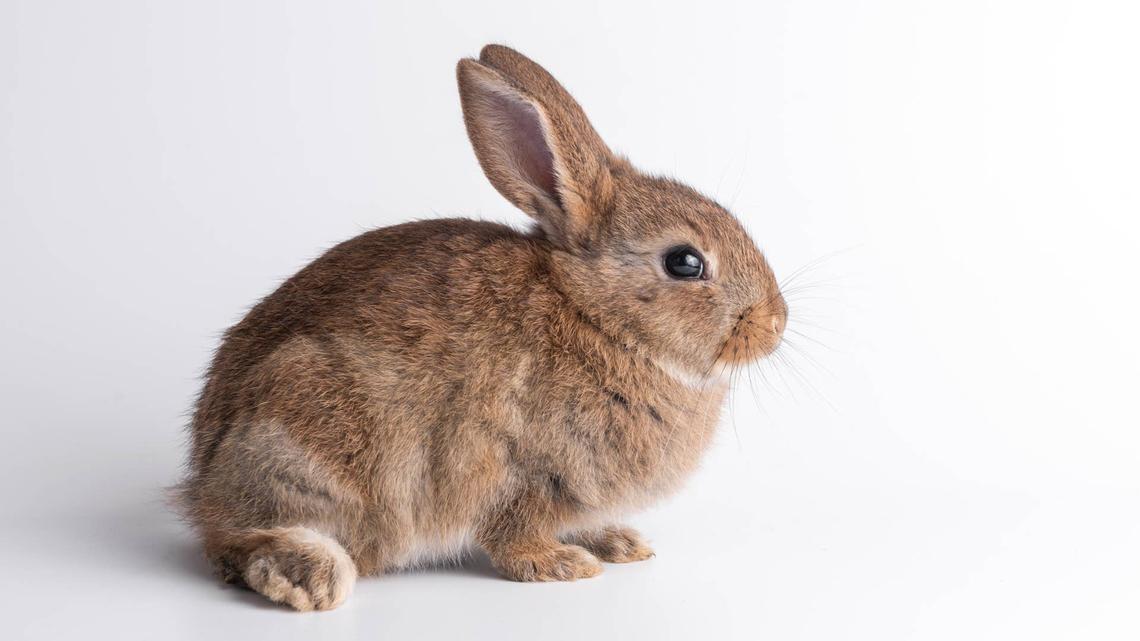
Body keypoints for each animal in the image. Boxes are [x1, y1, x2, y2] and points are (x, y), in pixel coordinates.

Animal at [176, 44, 787, 612]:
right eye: (685, 262)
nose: (775, 324)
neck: (597, 316)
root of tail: (202, 481)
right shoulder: (526, 472)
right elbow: (515, 533)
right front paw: (562, 565)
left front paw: (618, 543)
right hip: (308, 437)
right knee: (241, 541)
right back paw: (314, 575)